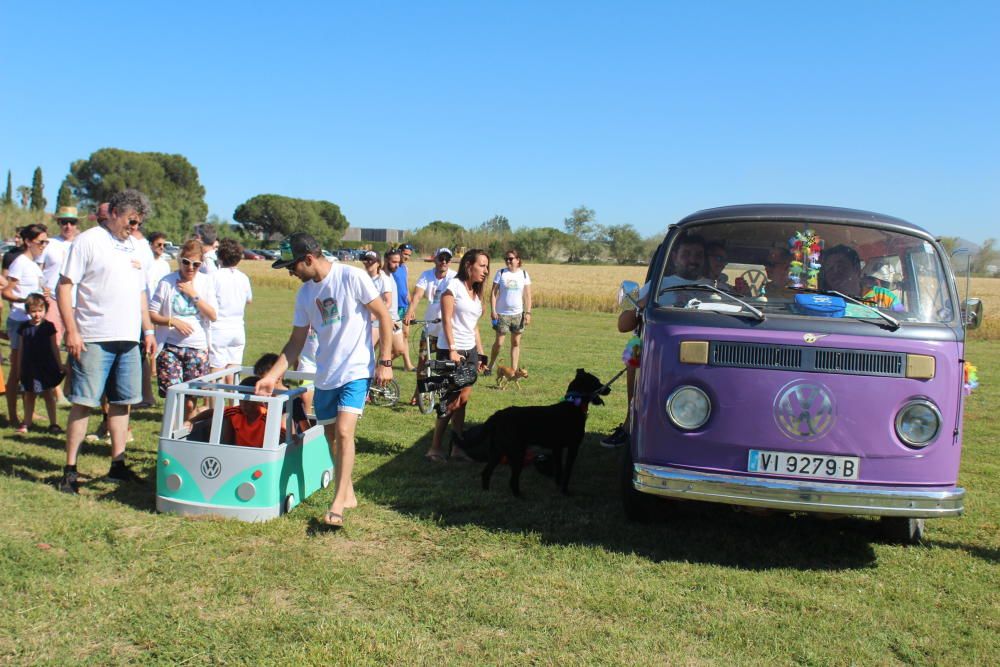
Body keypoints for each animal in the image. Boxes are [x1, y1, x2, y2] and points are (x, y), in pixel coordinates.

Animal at [466, 370, 608, 496]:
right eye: (596, 381)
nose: (609, 389)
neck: (573, 405)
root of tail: (498, 414)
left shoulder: (557, 449)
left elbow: (559, 470)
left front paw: (558, 486)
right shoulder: (573, 447)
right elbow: (567, 472)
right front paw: (565, 491)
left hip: (498, 450)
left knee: (486, 473)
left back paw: (486, 493)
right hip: (517, 452)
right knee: (512, 480)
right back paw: (520, 496)